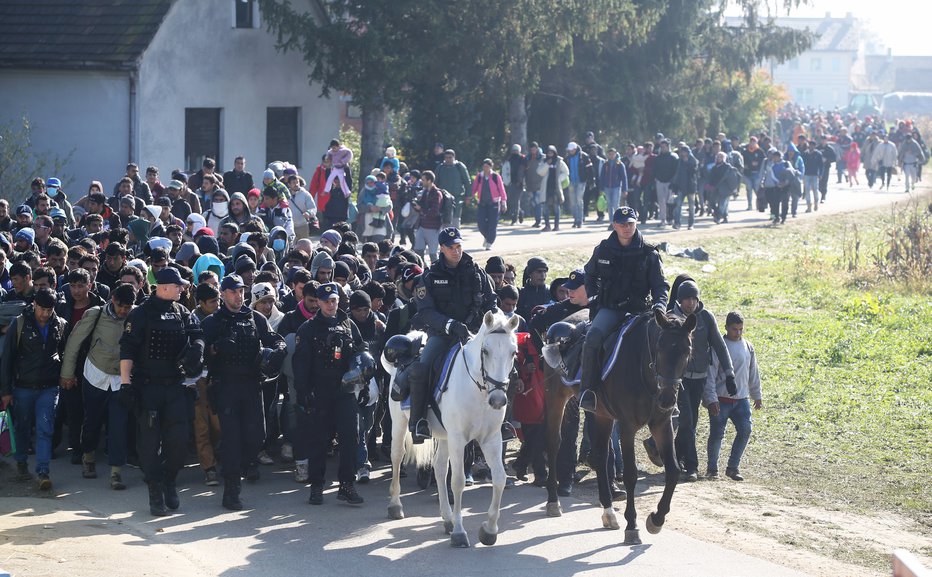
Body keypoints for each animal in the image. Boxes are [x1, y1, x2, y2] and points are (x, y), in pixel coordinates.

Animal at [380, 308, 520, 548]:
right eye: (485, 351)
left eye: (513, 352)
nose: (498, 400)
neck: (479, 392)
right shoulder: (458, 439)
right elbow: (458, 481)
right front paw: (460, 532)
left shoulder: (491, 439)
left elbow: (500, 479)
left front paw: (489, 530)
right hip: (400, 424)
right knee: (397, 457)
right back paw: (395, 506)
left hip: (444, 437)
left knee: (438, 468)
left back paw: (446, 519)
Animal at [540, 308, 692, 544]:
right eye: (660, 347)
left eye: (688, 350)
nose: (667, 399)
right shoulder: (628, 427)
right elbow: (630, 475)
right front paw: (632, 525)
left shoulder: (662, 424)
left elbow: (674, 471)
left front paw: (657, 519)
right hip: (556, 397)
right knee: (554, 443)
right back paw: (553, 502)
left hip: (602, 415)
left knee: (601, 455)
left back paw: (609, 512)